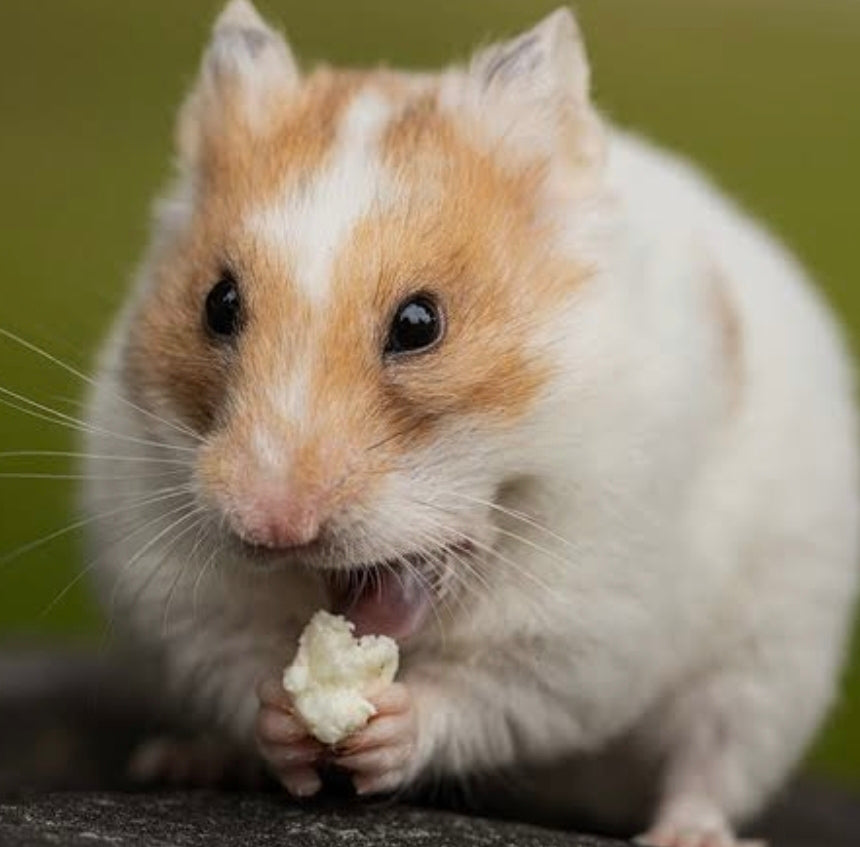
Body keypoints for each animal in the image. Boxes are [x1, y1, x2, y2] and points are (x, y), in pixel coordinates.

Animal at [81, 1, 859, 844]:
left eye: (420, 323)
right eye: (218, 303)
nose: (273, 526)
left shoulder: (586, 626)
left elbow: (488, 694)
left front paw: (383, 722)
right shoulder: (177, 589)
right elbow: (239, 665)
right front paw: (286, 720)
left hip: (769, 665)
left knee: (712, 762)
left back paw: (686, 832)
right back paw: (181, 759)